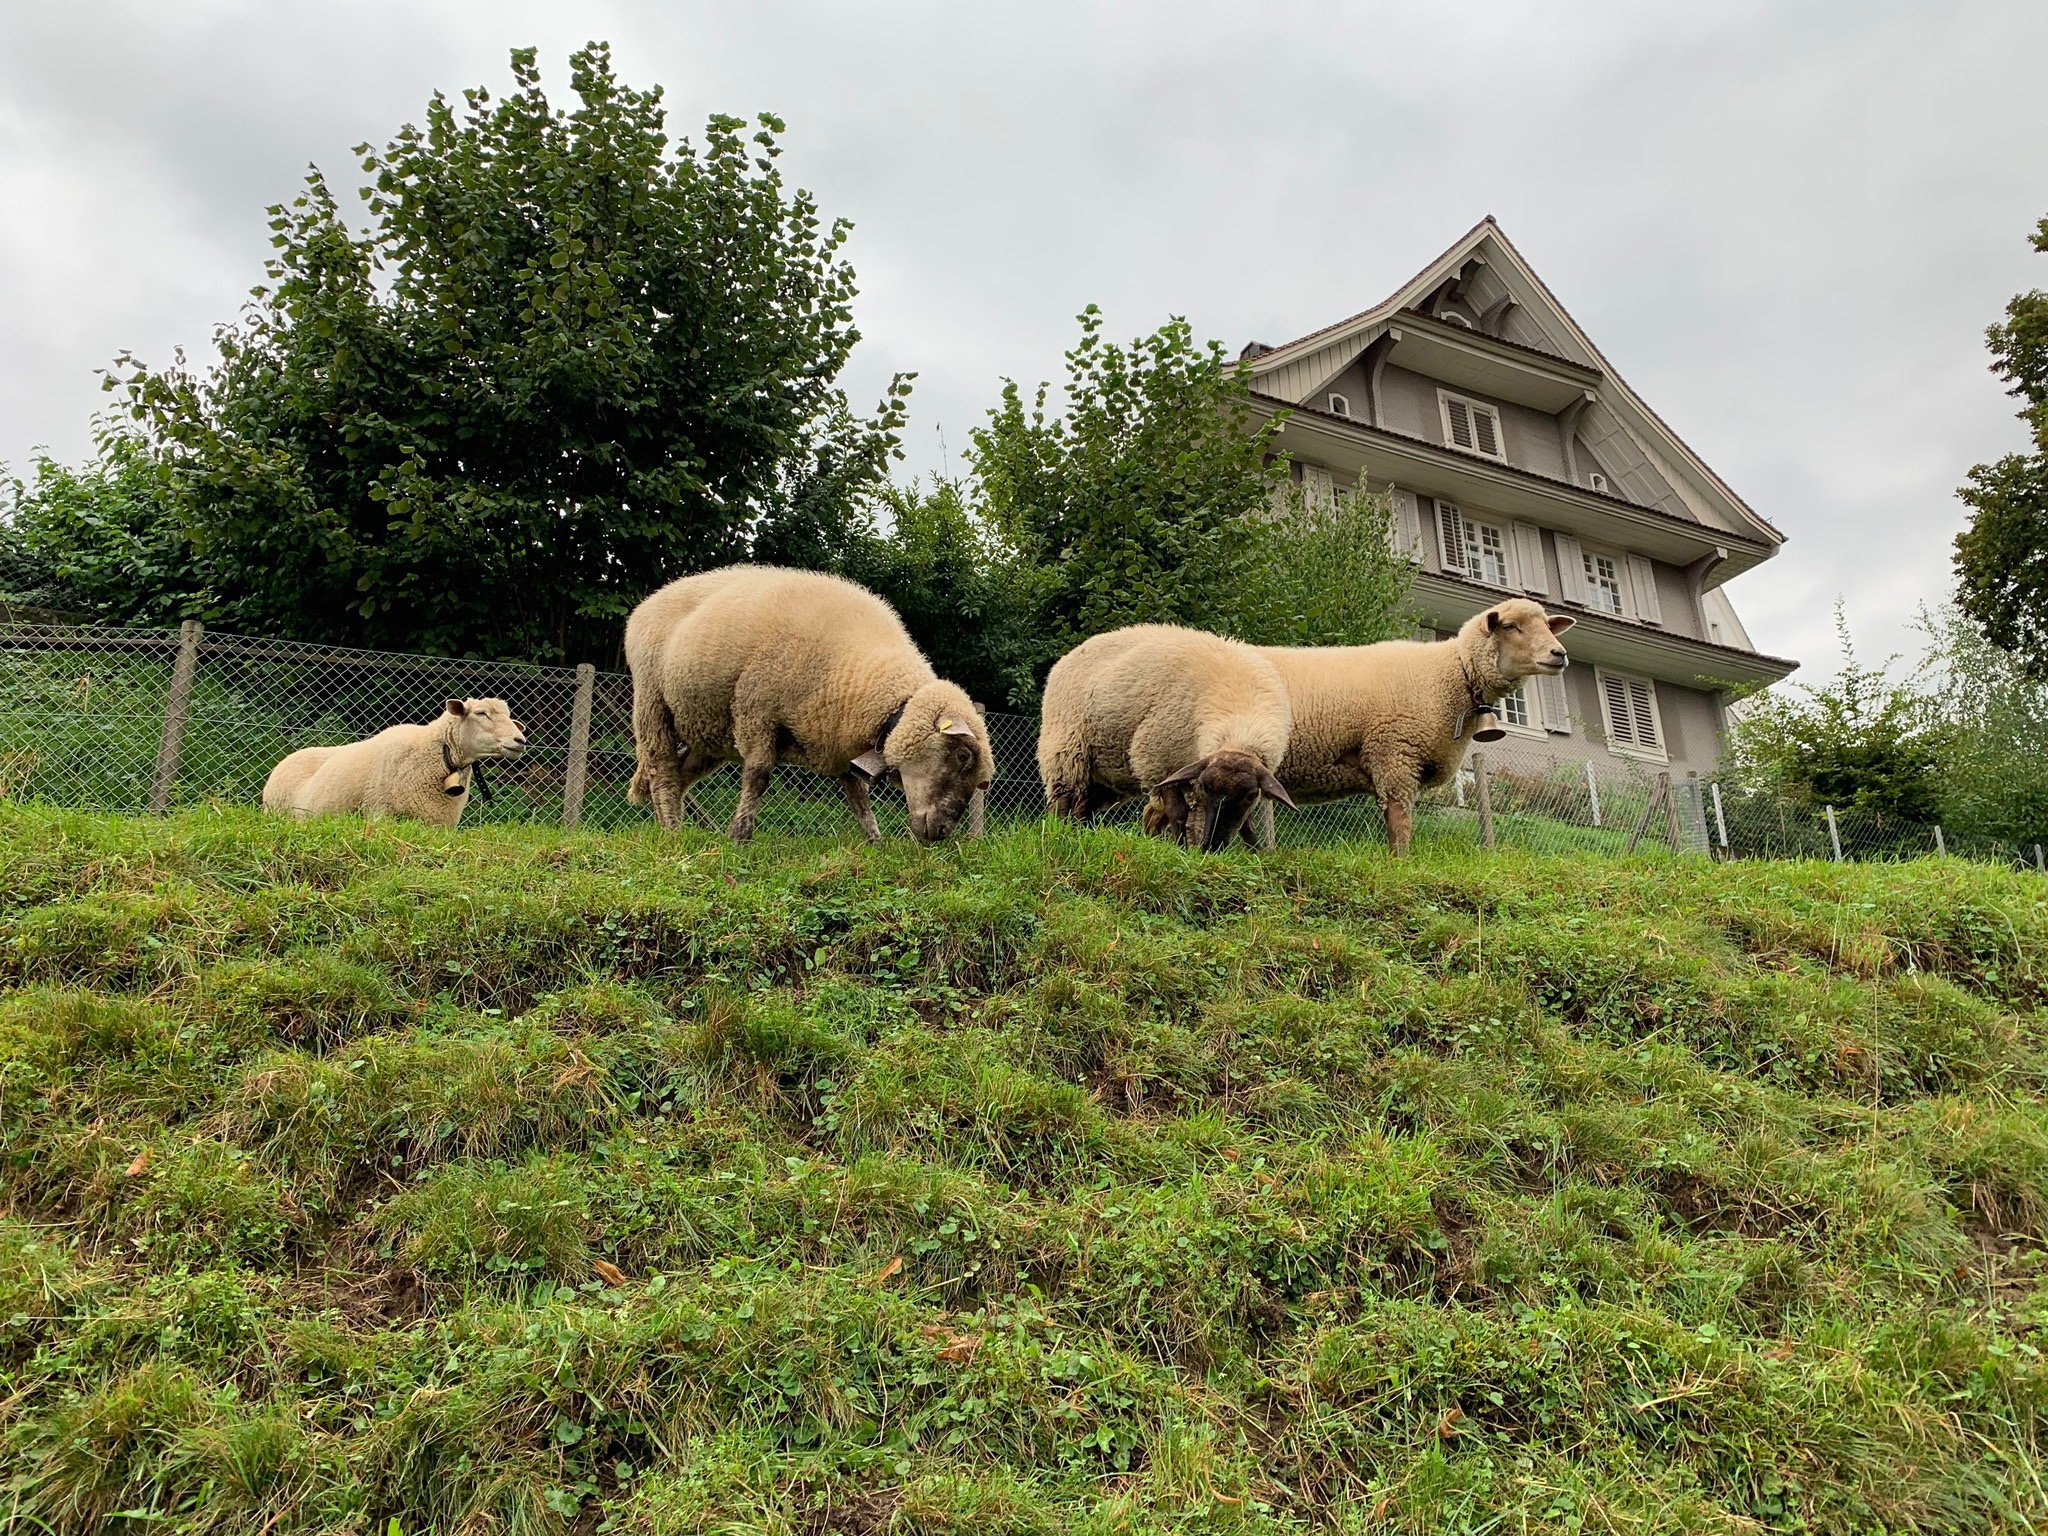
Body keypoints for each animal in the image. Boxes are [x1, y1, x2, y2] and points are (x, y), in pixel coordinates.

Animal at [630, 561, 999, 843]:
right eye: (963, 755)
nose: (941, 833)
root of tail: (648, 602)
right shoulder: (756, 710)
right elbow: (758, 775)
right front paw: (740, 835)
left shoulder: (842, 742)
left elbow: (858, 797)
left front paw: (875, 841)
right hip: (652, 700)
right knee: (662, 768)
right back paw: (672, 831)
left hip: (708, 729)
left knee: (681, 773)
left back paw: (669, 824)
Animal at [1040, 622, 1294, 856]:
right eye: (1205, 788)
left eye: (1250, 795)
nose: (1211, 846)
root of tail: (1071, 654)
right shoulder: (1160, 764)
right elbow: (1178, 813)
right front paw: (1181, 849)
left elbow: (1247, 825)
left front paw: (1257, 852)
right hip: (1065, 748)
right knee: (1063, 798)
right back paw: (1061, 834)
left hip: (1106, 773)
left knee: (1083, 807)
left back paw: (1078, 834)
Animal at [1253, 598, 1572, 860]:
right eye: (1509, 626)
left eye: (1548, 625)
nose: (1559, 653)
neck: (1452, 673)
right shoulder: (1395, 754)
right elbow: (1400, 822)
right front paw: (1401, 863)